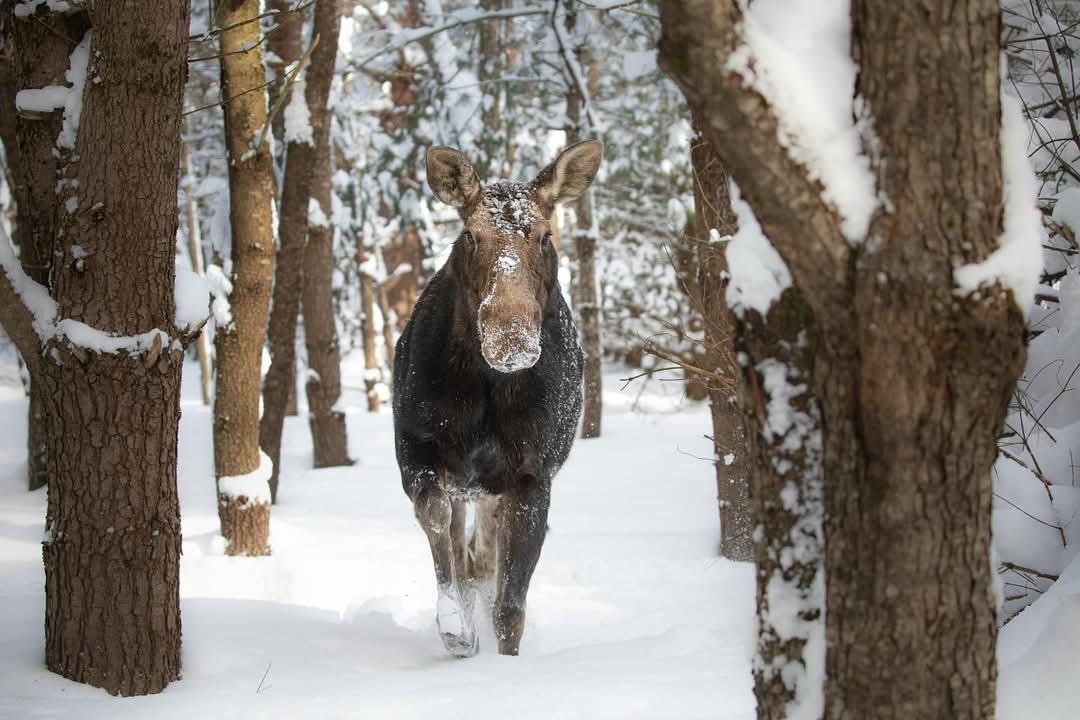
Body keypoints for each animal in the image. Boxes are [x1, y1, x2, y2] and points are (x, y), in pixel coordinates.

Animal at [392, 140, 602, 657]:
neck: (487, 393)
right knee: (466, 548)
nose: (511, 337)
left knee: (484, 556)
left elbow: (510, 607)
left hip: (494, 488)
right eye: (469, 234)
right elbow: (437, 519)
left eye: (545, 235)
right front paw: (456, 629)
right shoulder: (415, 447)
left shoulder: (533, 474)